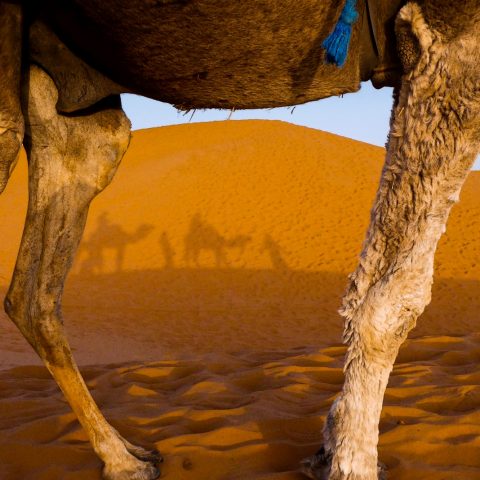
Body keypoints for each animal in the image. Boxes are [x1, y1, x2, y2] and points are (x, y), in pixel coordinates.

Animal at [0, 0, 480, 480]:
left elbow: (375, 277)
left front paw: (330, 447)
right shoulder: (452, 35)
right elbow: (396, 298)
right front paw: (350, 465)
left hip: (70, 106)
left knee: (33, 293)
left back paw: (124, 457)